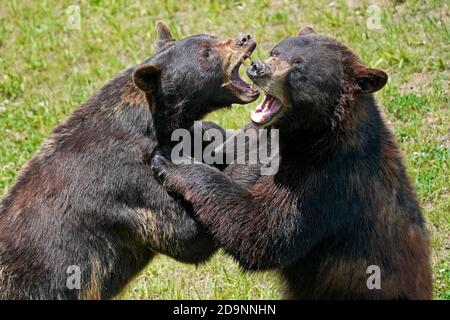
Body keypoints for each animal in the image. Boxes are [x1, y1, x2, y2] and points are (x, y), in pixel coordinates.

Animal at [0, 22, 258, 300]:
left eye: (212, 36)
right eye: (207, 52)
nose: (245, 38)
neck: (151, 124)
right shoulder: (123, 183)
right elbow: (188, 230)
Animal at [151, 26, 432, 298]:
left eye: (298, 67)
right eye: (276, 51)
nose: (258, 67)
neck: (310, 135)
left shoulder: (323, 182)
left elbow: (264, 229)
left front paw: (172, 163)